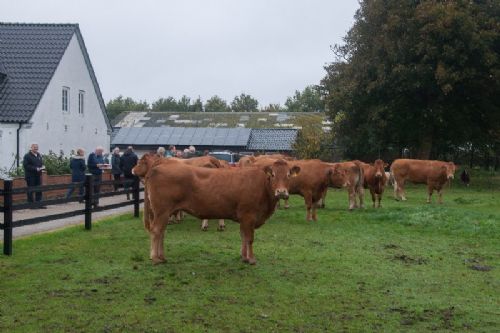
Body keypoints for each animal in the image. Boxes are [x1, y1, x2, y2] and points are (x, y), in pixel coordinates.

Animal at [145, 160, 300, 264]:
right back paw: (155, 258)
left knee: (161, 232)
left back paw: (162, 257)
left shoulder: (243, 219)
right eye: (272, 174)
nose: (281, 192)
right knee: (156, 231)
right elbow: (249, 238)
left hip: (164, 213)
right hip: (161, 211)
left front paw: (244, 257)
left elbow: (243, 237)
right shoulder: (249, 216)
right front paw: (251, 259)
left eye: (288, 175)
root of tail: (156, 168)